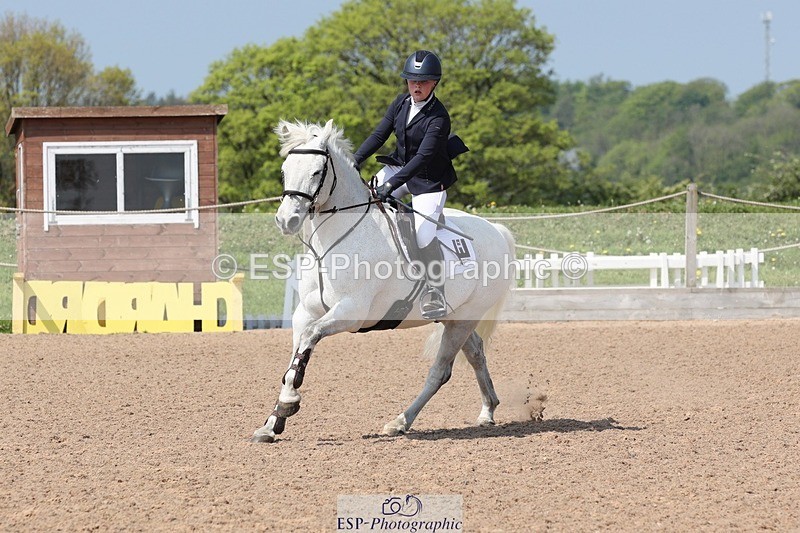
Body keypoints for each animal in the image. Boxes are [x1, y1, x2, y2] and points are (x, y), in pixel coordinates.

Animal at [251, 119, 517, 443]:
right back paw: (487, 411)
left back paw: (400, 421)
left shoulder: (351, 312)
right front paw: (273, 421)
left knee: (440, 371)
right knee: (476, 352)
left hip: (464, 318)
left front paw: (288, 405)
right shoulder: (305, 312)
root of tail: (496, 229)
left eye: (316, 172)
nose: (286, 220)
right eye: (285, 169)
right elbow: (296, 356)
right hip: (455, 316)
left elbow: (310, 339)